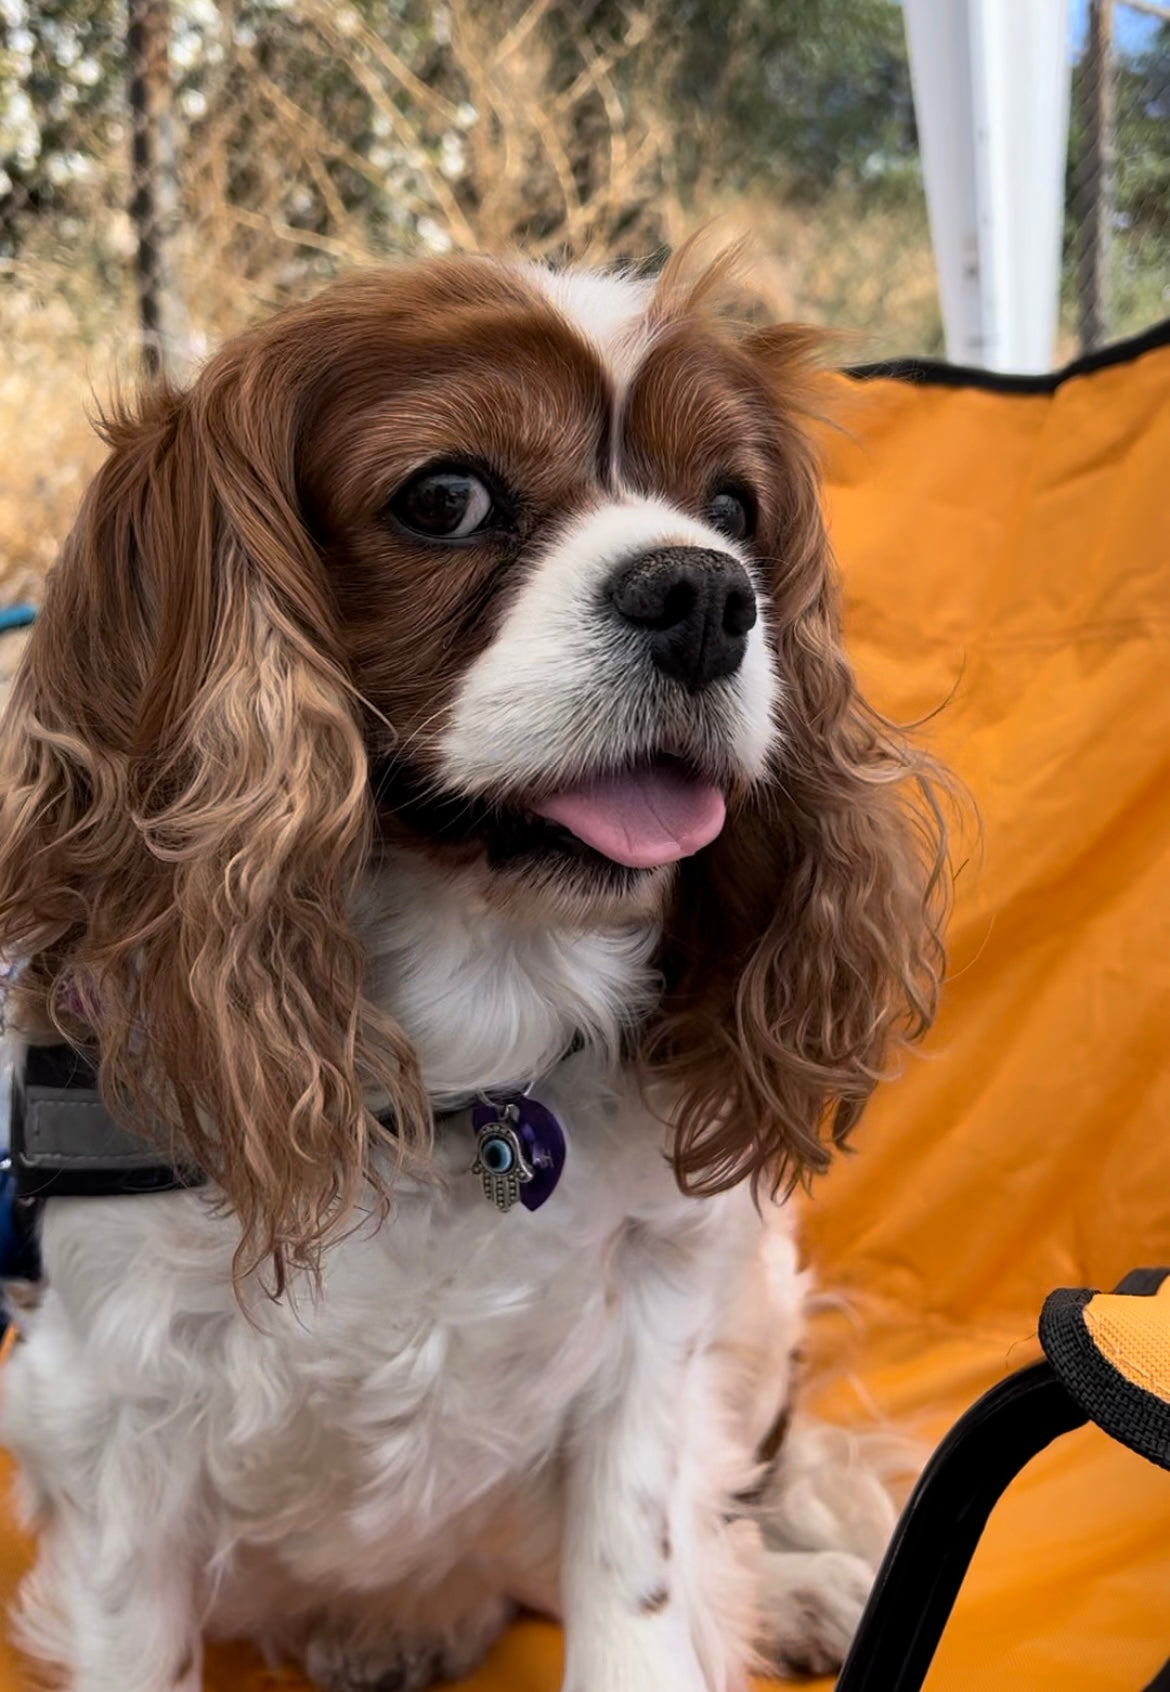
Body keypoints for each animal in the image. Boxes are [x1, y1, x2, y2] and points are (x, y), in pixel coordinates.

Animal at [0, 241, 948, 1692]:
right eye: (447, 496)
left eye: (733, 505)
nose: (707, 594)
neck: (457, 1084)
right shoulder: (109, 1415)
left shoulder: (652, 1333)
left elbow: (644, 1594)